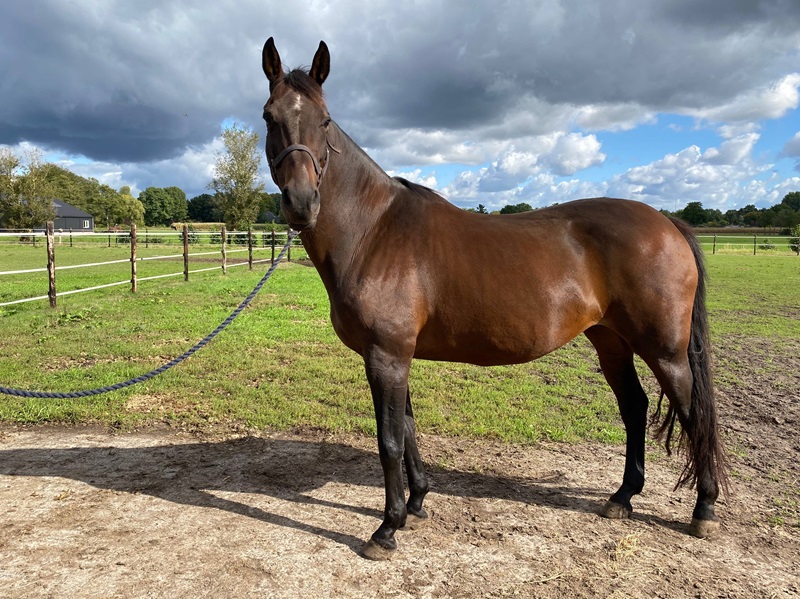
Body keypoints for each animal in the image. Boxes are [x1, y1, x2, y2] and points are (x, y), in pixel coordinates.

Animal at [260, 37, 727, 560]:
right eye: (268, 116)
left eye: (324, 120)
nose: (301, 203)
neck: (373, 231)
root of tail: (669, 224)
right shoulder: (394, 356)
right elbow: (409, 428)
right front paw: (417, 504)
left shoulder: (386, 355)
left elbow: (389, 440)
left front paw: (387, 528)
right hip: (611, 341)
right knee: (635, 407)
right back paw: (622, 497)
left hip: (664, 350)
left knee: (694, 414)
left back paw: (704, 509)